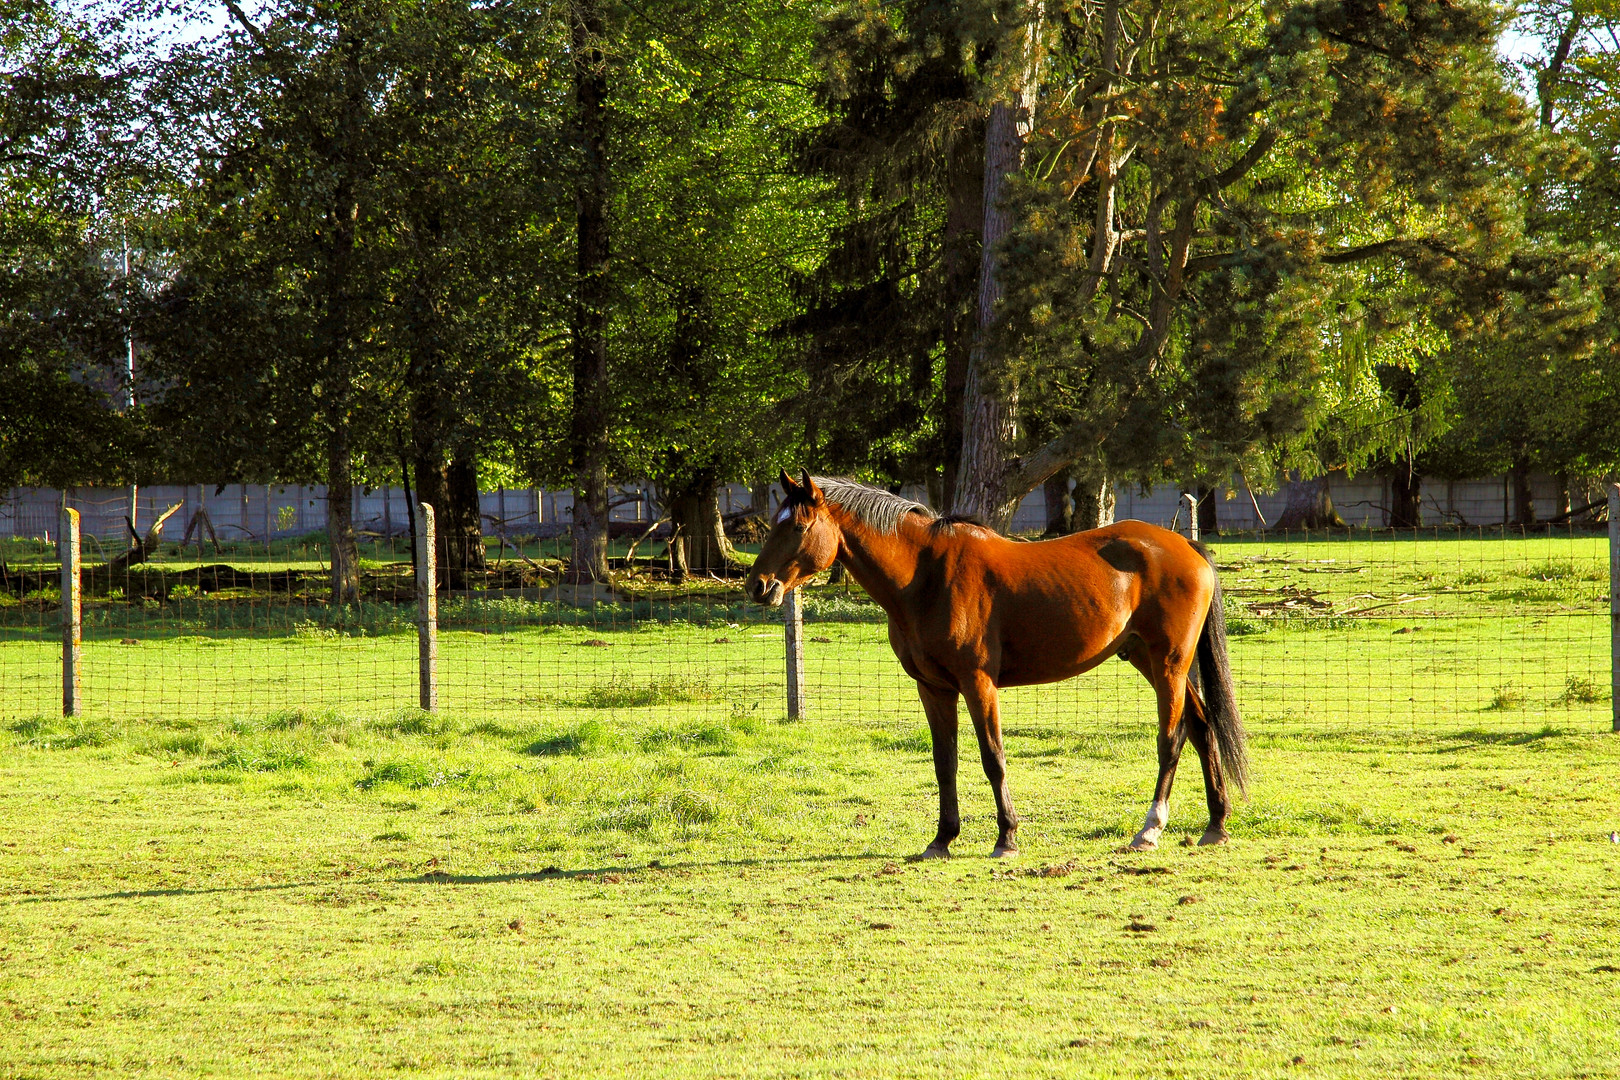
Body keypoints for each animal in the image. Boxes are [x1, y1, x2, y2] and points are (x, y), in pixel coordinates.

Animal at [741, 469, 1244, 854]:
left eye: (798, 528)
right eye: (775, 525)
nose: (758, 586)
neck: (925, 576)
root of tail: (1185, 547)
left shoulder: (978, 683)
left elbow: (992, 757)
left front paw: (1007, 838)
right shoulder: (934, 687)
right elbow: (944, 761)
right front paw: (942, 840)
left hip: (1168, 665)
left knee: (1173, 739)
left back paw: (1150, 830)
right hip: (1149, 659)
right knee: (1203, 729)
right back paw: (1215, 826)